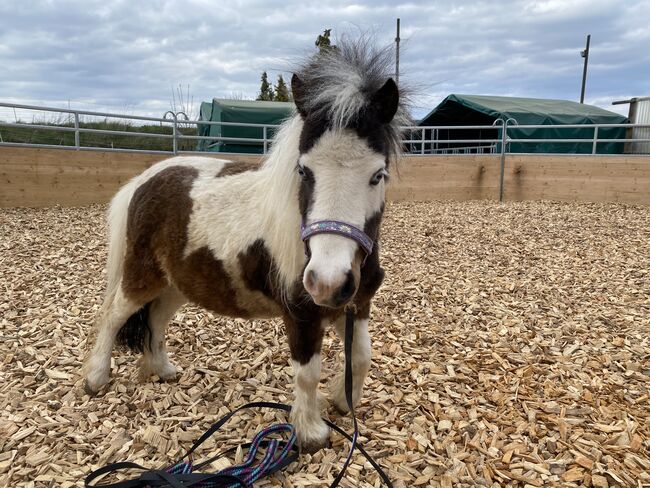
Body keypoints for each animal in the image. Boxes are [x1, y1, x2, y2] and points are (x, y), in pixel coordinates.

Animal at [81, 39, 404, 454]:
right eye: (304, 170)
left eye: (378, 174)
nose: (327, 281)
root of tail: (143, 180)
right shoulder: (301, 313)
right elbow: (307, 372)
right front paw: (310, 432)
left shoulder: (355, 304)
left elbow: (362, 356)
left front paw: (343, 400)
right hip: (142, 275)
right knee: (113, 315)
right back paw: (96, 379)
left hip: (176, 284)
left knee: (155, 320)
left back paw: (163, 370)